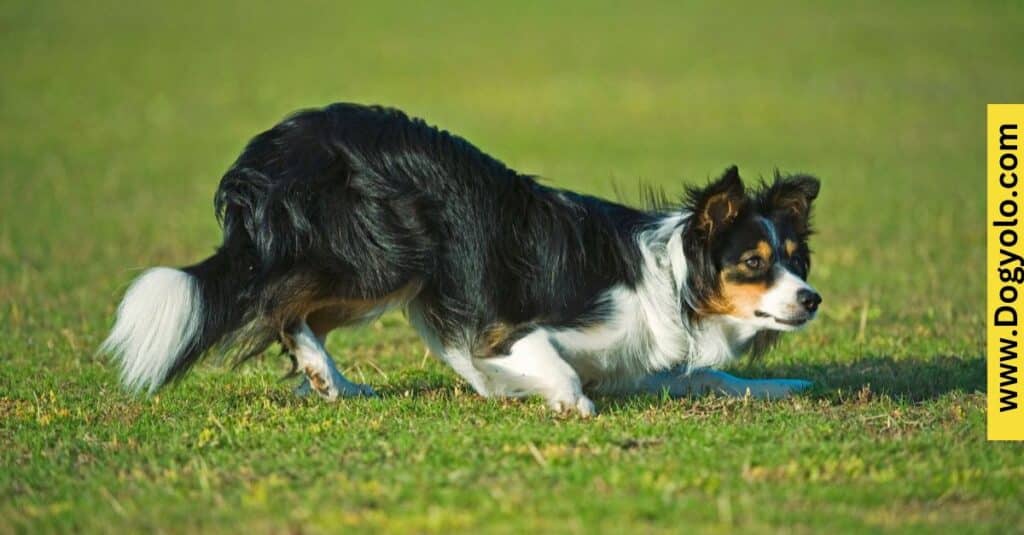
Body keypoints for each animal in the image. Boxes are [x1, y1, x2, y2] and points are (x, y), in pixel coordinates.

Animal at [101, 101, 823, 414]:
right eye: (754, 261)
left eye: (797, 261)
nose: (812, 300)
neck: (676, 277)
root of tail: (274, 145)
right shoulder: (509, 329)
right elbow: (554, 364)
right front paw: (564, 404)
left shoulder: (634, 361)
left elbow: (715, 376)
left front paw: (784, 386)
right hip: (389, 256)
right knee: (277, 303)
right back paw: (325, 375)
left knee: (296, 311)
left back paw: (336, 382)